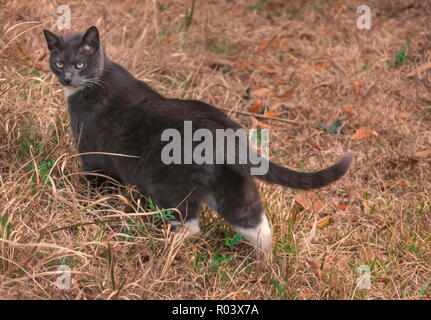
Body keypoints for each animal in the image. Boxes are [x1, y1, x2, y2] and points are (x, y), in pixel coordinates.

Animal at [43, 26, 352, 258]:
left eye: (79, 64)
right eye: (58, 63)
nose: (67, 78)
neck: (96, 79)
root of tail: (224, 132)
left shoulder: (92, 153)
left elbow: (97, 186)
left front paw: (89, 208)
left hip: (169, 186)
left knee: (190, 225)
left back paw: (167, 246)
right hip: (232, 183)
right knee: (257, 224)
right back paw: (266, 264)